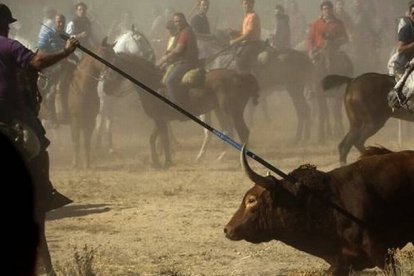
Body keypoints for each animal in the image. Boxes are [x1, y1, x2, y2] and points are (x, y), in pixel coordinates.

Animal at [102, 52, 258, 168]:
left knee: (243, 132)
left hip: (233, 112)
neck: (153, 83)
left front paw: (165, 162)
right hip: (220, 110)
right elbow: (154, 139)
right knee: (228, 131)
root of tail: (240, 76)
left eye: (111, 68)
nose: (105, 89)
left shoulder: (160, 120)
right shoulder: (159, 119)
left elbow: (164, 140)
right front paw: (157, 161)